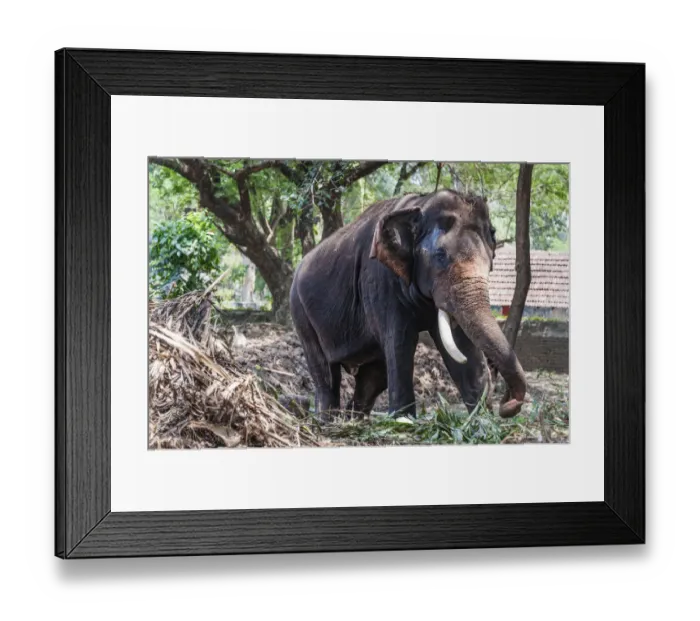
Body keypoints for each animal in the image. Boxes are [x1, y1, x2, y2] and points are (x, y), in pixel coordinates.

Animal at [289, 190, 527, 420]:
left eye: (490, 261)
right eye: (440, 256)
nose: (507, 405)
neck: (421, 204)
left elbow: (461, 343)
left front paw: (482, 420)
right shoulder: (380, 281)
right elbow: (400, 342)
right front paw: (403, 420)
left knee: (374, 377)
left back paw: (352, 419)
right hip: (300, 313)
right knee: (327, 375)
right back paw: (327, 420)